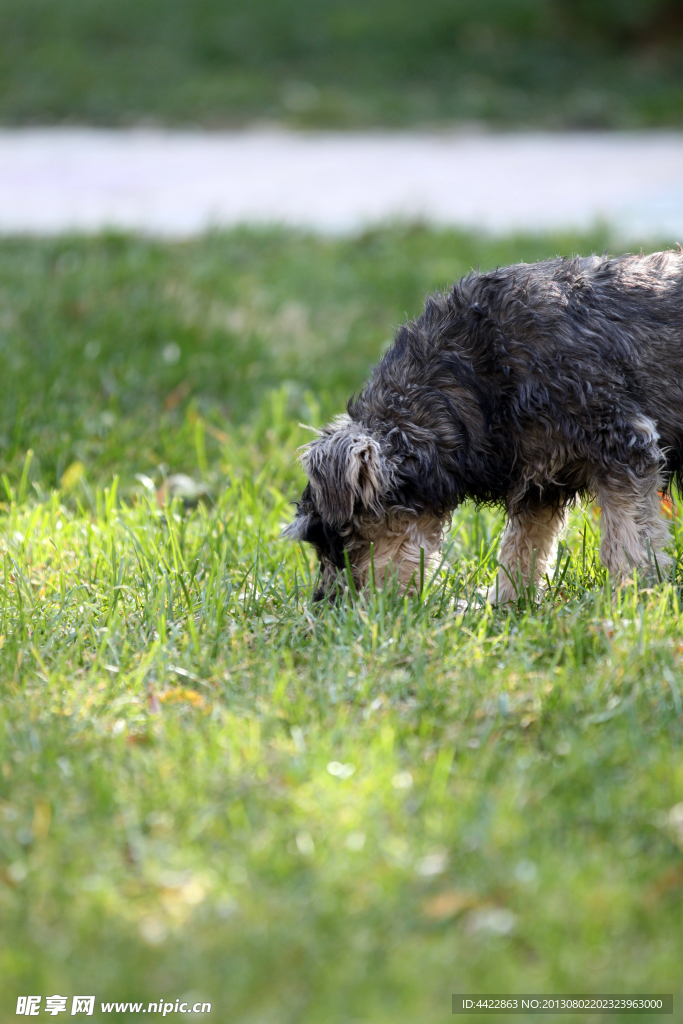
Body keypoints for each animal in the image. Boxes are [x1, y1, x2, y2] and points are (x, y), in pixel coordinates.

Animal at [282, 249, 683, 598]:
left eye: (344, 541)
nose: (325, 603)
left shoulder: (623, 445)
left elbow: (627, 539)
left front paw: (628, 597)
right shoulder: (539, 477)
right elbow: (523, 546)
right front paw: (506, 602)